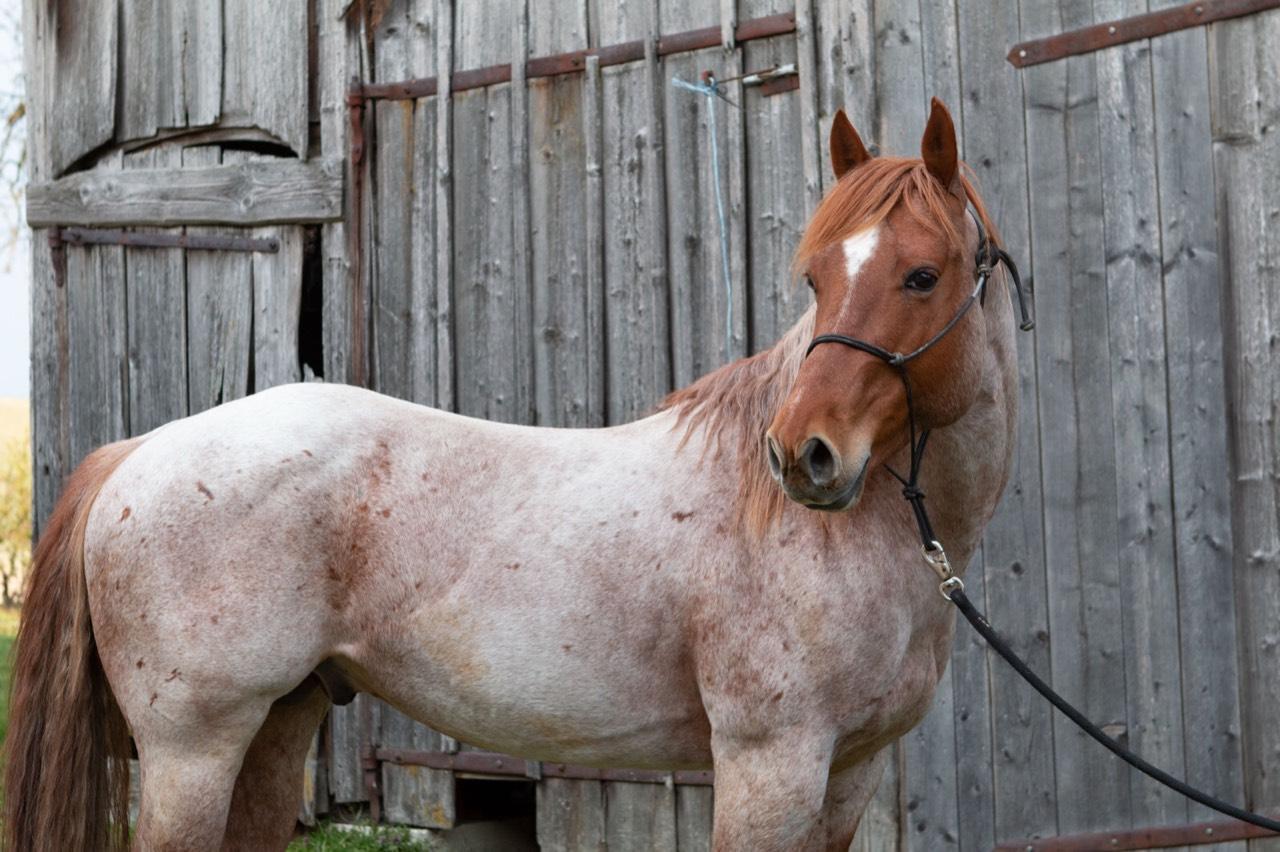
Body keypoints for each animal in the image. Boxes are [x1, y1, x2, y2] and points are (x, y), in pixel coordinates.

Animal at [4, 97, 1021, 851]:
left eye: (922, 276)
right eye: (815, 280)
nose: (802, 455)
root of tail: (137, 455)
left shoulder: (849, 772)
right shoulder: (769, 765)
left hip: (275, 726)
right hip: (190, 753)